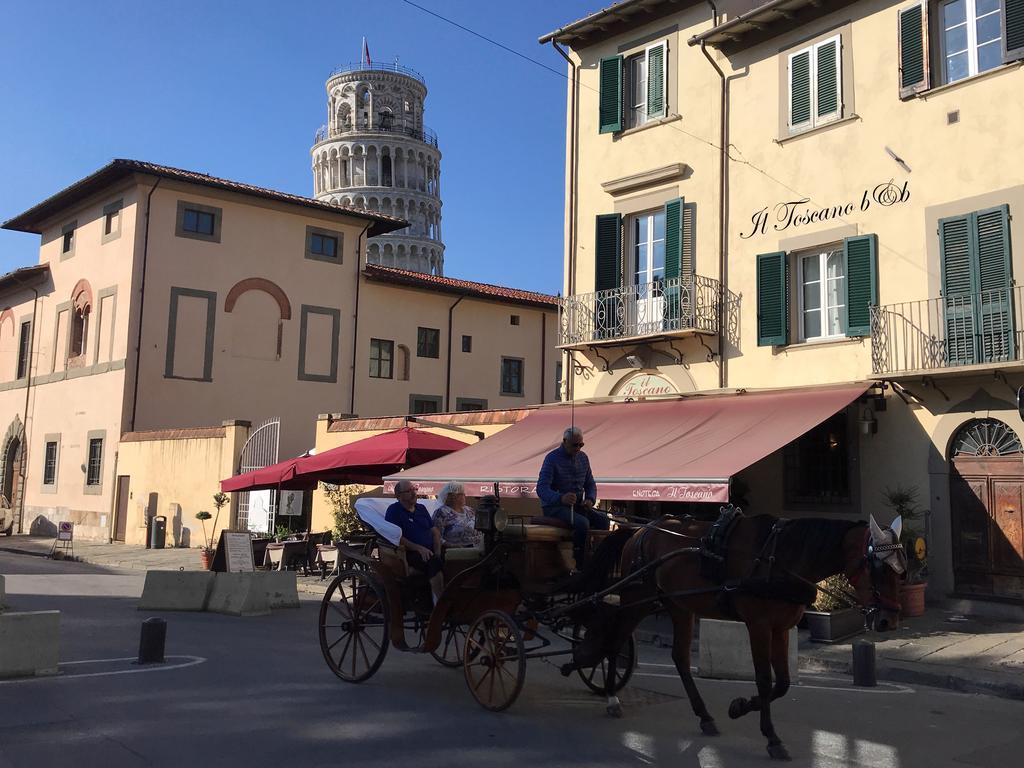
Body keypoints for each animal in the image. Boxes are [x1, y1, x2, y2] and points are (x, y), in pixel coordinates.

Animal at [569, 512, 905, 765]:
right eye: (878, 567)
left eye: (902, 570)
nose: (889, 620)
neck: (781, 557)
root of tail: (640, 529)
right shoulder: (758, 625)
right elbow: (764, 680)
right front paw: (771, 737)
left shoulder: (781, 628)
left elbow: (783, 683)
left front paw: (740, 707)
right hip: (637, 599)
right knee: (615, 641)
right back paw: (612, 697)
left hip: (677, 605)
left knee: (679, 657)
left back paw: (704, 715)